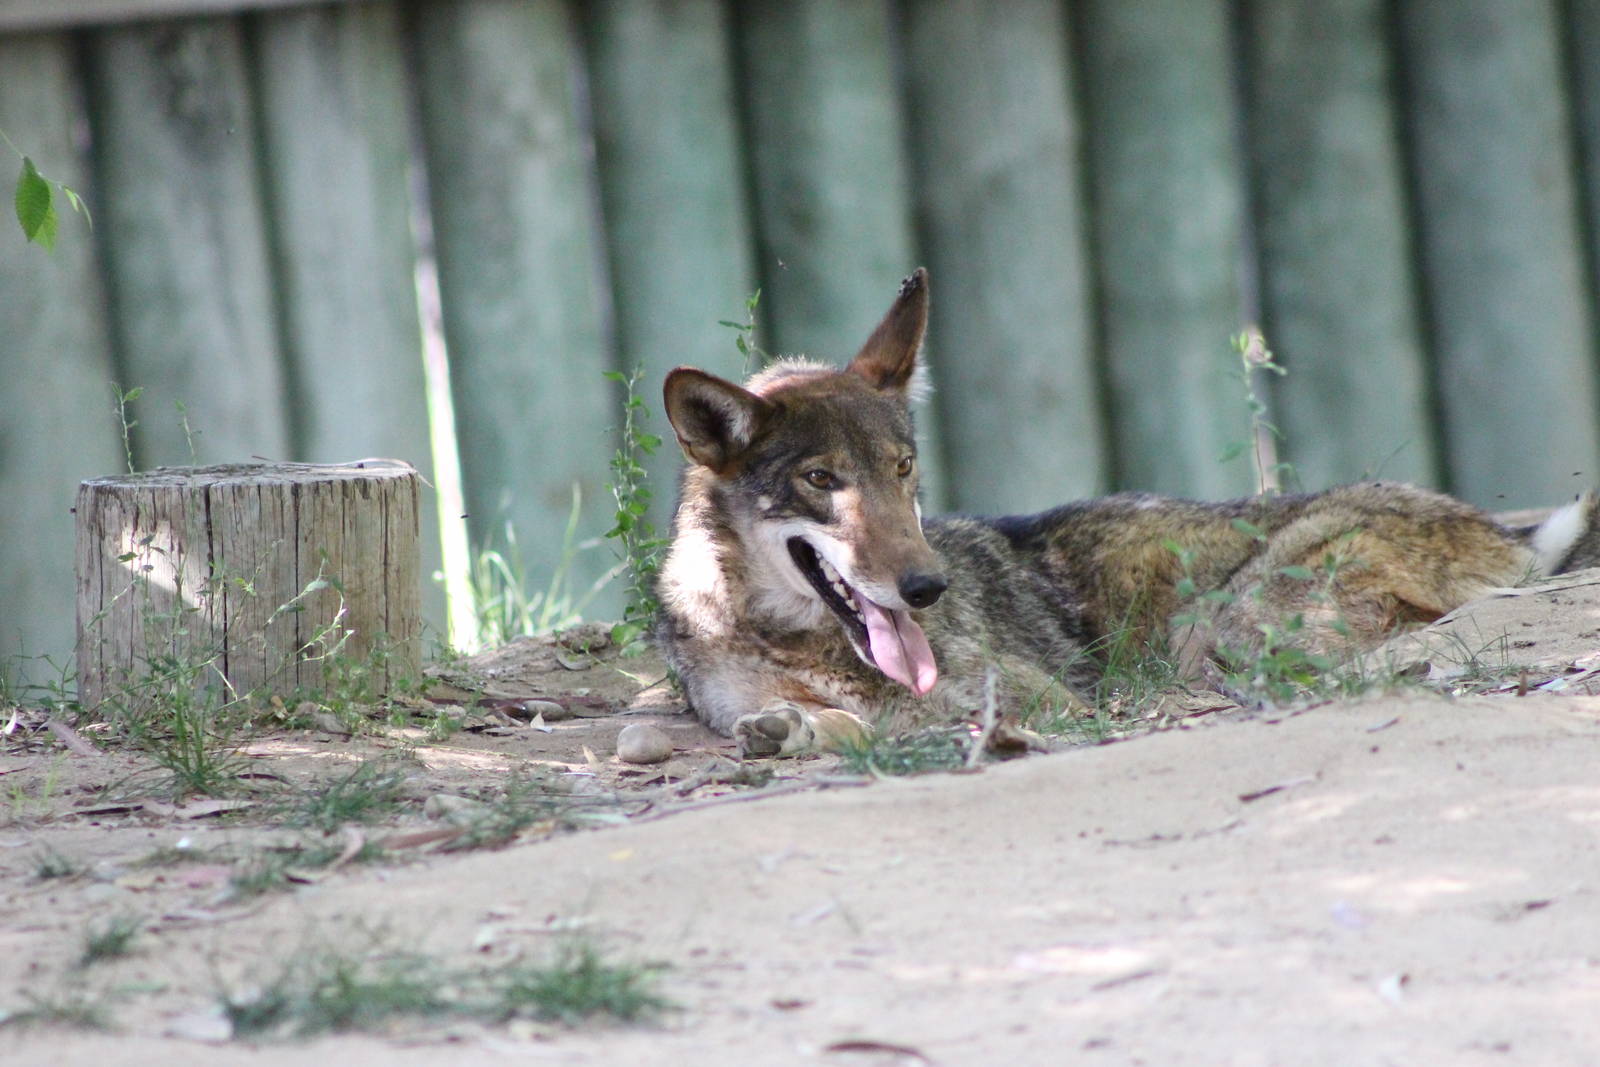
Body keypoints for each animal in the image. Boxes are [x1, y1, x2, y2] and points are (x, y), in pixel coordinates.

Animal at [655, 269, 1600, 757]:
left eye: (902, 469)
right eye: (822, 479)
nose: (927, 587)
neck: (796, 638)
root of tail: (1502, 531)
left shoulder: (1038, 696)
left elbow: (911, 714)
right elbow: (823, 715)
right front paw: (797, 723)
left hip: (1225, 628)